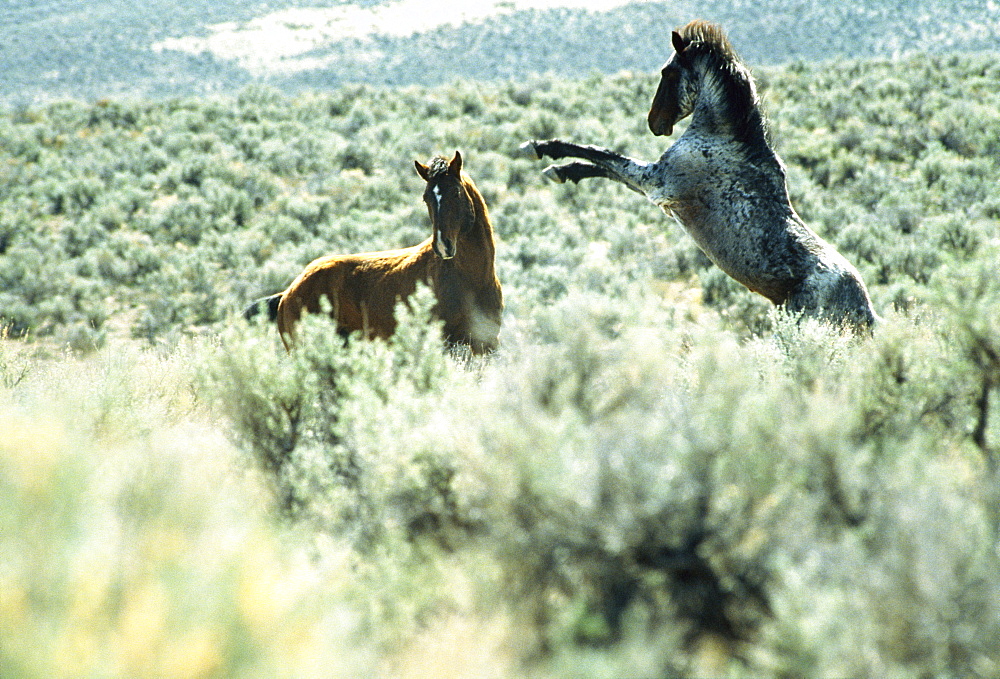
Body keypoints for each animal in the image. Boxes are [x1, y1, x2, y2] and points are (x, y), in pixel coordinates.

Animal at [254, 153, 504, 354]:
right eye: (426, 198)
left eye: (456, 192)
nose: (443, 245)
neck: (472, 279)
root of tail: (286, 293)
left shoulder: (485, 346)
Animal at [520, 19, 880, 332]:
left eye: (667, 71)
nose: (655, 123)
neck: (723, 136)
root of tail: (867, 313)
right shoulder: (656, 187)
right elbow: (602, 163)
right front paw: (558, 169)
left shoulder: (656, 182)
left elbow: (602, 155)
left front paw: (541, 150)